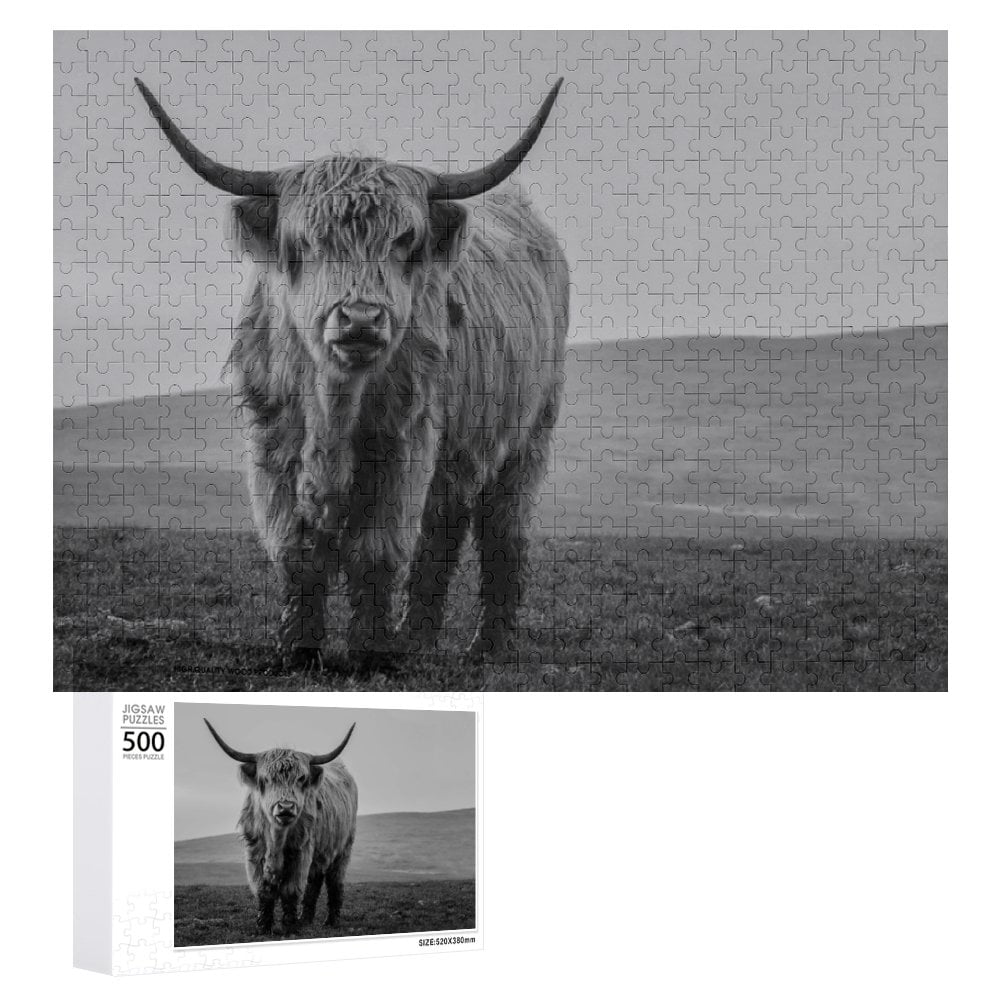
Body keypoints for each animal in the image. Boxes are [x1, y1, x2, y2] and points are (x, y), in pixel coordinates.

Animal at [135, 76, 570, 671]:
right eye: (305, 243)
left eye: (405, 242)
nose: (361, 318)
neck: (334, 408)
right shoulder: (272, 447)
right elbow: (297, 550)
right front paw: (298, 650)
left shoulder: (404, 445)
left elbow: (376, 551)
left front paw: (369, 653)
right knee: (444, 528)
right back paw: (417, 638)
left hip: (526, 439)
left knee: (500, 532)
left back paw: (488, 646)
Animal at [204, 718, 358, 935]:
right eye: (265, 779)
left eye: (301, 779)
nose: (285, 807)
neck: (276, 840)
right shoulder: (254, 852)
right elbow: (264, 890)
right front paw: (263, 927)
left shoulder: (301, 852)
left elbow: (291, 890)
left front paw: (290, 926)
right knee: (315, 882)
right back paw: (306, 919)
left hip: (343, 849)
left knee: (334, 882)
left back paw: (331, 921)